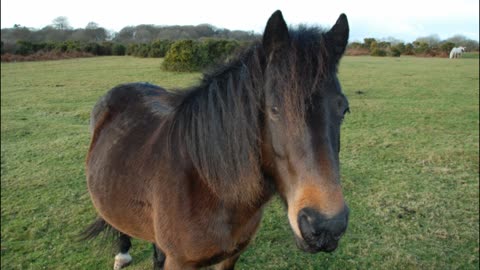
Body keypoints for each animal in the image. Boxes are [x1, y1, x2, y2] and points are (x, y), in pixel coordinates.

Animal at [84, 10, 350, 270]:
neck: (210, 186)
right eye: (274, 109)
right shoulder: (180, 262)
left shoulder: (231, 255)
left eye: (344, 109)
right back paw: (122, 254)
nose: (326, 226)